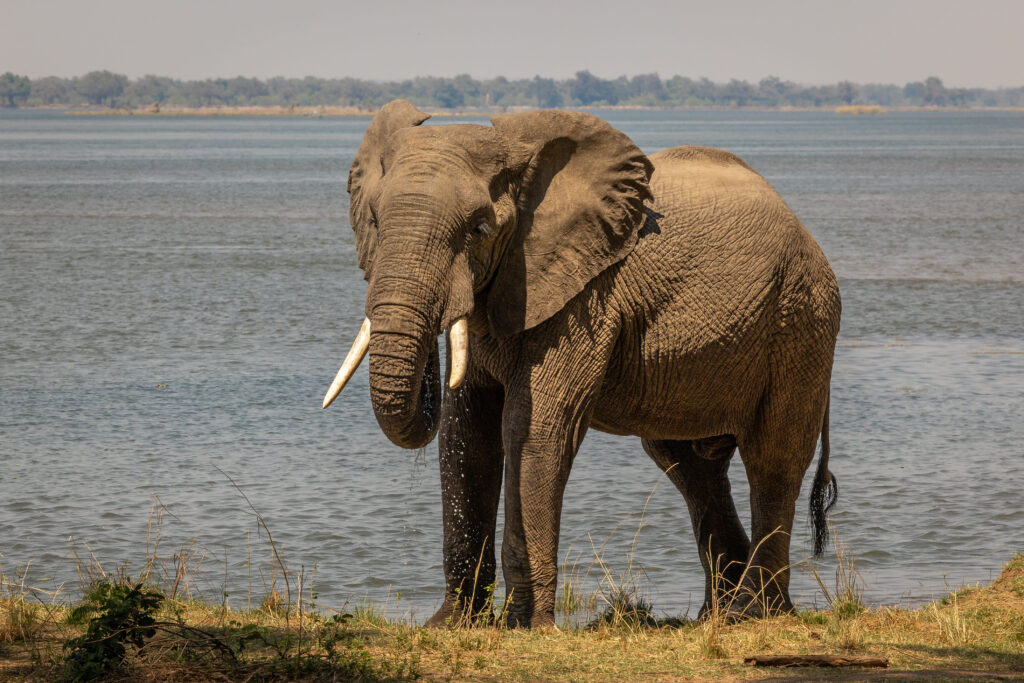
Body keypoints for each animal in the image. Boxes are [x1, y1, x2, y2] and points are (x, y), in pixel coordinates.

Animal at [322, 99, 841, 628]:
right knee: (689, 465)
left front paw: (525, 628)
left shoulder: (583, 298)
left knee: (773, 462)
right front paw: (449, 625)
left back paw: (752, 613)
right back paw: (715, 616)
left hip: (801, 322)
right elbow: (466, 433)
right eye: (374, 222)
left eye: (479, 229)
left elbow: (532, 430)